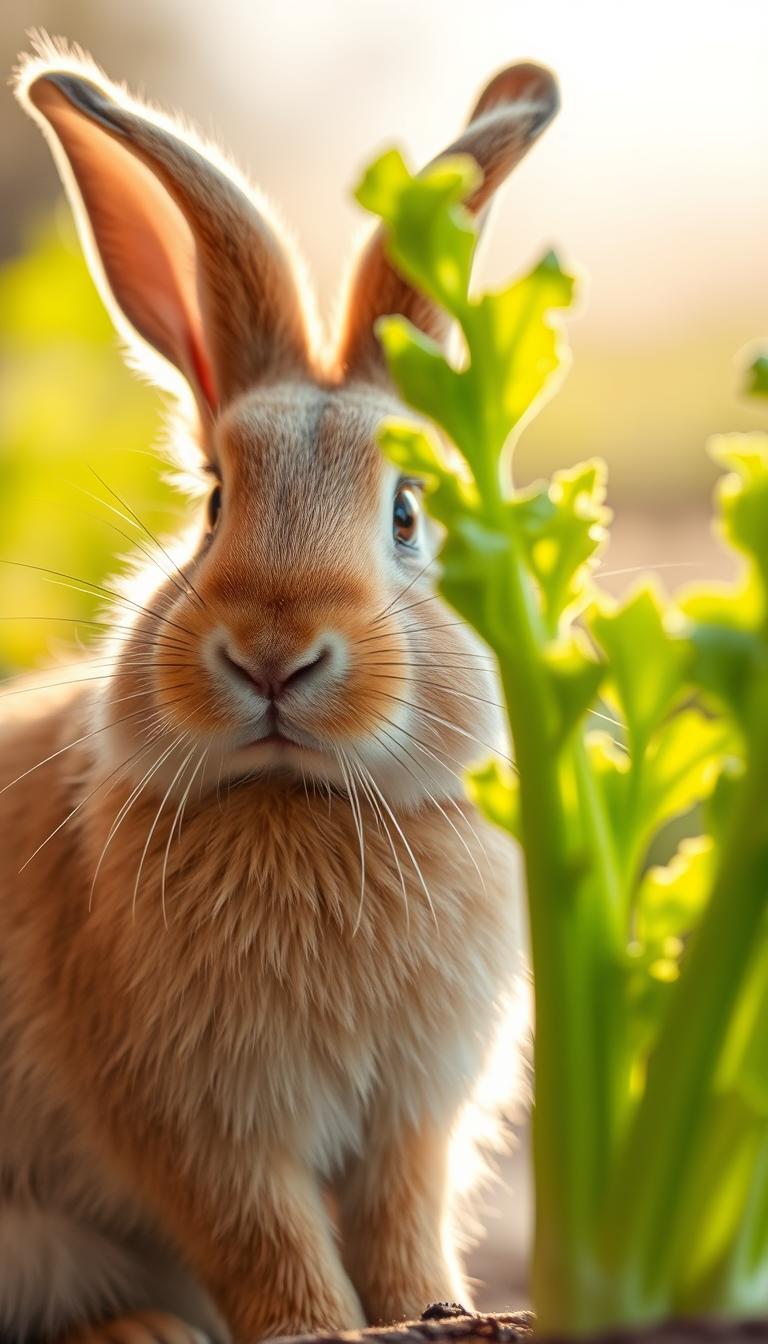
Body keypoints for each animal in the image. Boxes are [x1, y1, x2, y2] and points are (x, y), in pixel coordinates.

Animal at [1, 36, 559, 1344]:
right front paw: (323, 1326)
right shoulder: (196, 1120)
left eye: (408, 513)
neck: (304, 804)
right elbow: (267, 1242)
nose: (271, 653)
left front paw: (434, 1311)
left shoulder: (412, 1119)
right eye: (212, 504)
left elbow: (401, 1226)